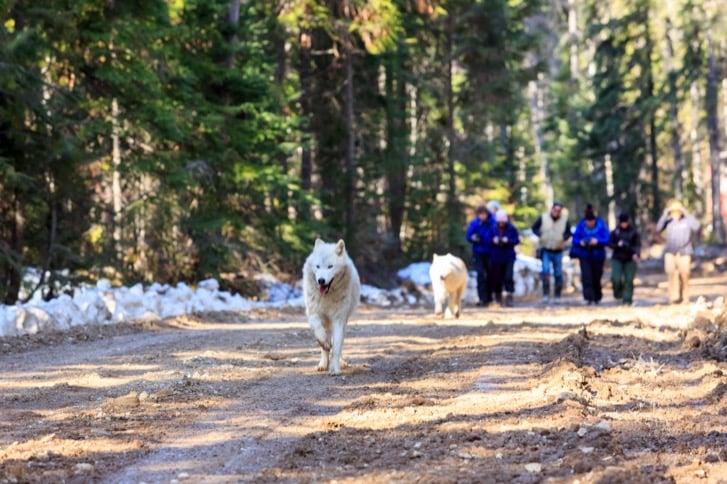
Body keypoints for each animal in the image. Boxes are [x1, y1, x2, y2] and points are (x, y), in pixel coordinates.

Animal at [302, 238, 361, 375]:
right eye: (317, 266)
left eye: (330, 266)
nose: (321, 280)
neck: (327, 297)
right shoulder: (313, 314)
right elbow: (319, 333)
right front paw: (324, 343)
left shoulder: (338, 319)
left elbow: (337, 346)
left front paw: (335, 369)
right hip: (327, 322)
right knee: (326, 345)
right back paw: (323, 364)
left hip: (343, 321)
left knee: (338, 343)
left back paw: (340, 362)